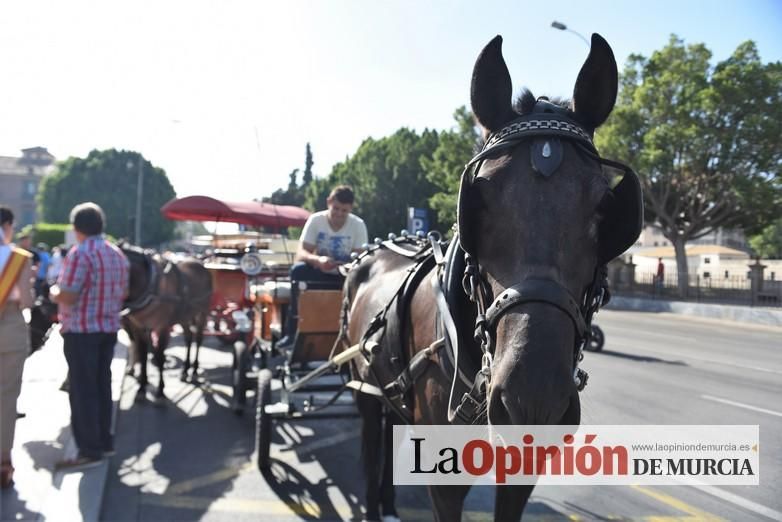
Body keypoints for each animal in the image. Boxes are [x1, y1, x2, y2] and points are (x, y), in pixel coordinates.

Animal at [120, 244, 213, 398]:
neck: (150, 284)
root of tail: (199, 263)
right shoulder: (139, 328)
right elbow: (143, 354)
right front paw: (142, 386)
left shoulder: (162, 327)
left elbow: (160, 357)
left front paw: (160, 389)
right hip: (184, 316)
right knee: (188, 338)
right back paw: (185, 370)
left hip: (202, 313)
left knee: (198, 339)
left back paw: (194, 370)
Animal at [344, 34, 644, 516]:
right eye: (478, 202)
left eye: (605, 208)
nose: (534, 397)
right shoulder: (444, 476)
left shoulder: (522, 468)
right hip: (363, 387)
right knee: (373, 446)